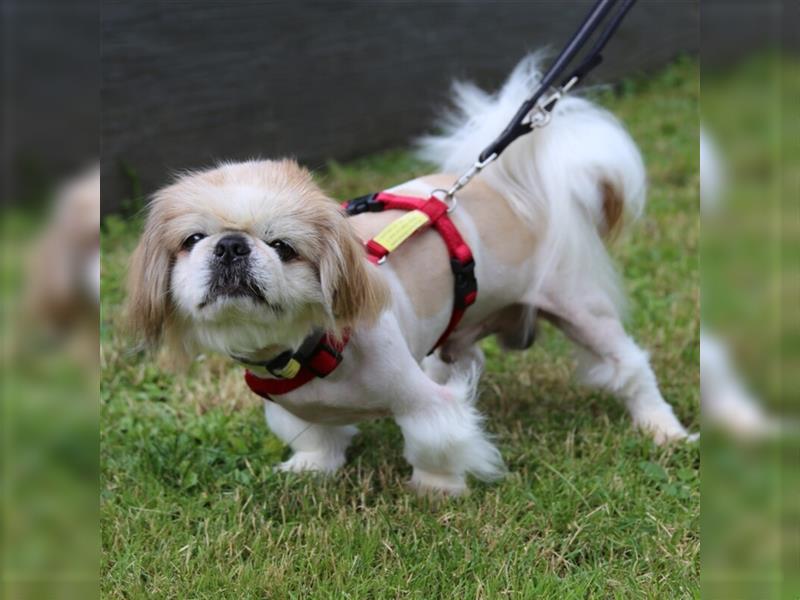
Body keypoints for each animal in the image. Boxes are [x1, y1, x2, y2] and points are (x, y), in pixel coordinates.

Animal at [128, 57, 692, 496]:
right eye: (192, 240)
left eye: (284, 248)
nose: (230, 245)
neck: (304, 354)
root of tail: (514, 189)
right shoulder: (295, 412)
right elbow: (317, 439)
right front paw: (312, 469)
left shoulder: (419, 401)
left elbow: (434, 439)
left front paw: (435, 490)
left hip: (580, 309)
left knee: (629, 367)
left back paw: (664, 430)